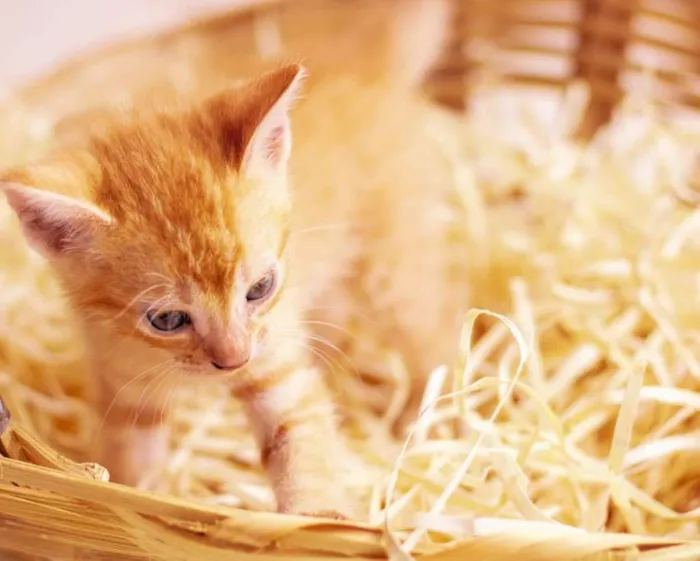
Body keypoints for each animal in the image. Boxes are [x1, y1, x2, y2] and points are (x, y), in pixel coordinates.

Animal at [1, 0, 470, 520]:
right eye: (167, 319)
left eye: (260, 288)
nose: (234, 360)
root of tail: (360, 68)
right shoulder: (124, 382)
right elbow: (131, 461)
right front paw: (129, 496)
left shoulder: (279, 367)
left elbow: (300, 443)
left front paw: (313, 517)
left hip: (392, 274)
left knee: (435, 328)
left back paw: (434, 417)